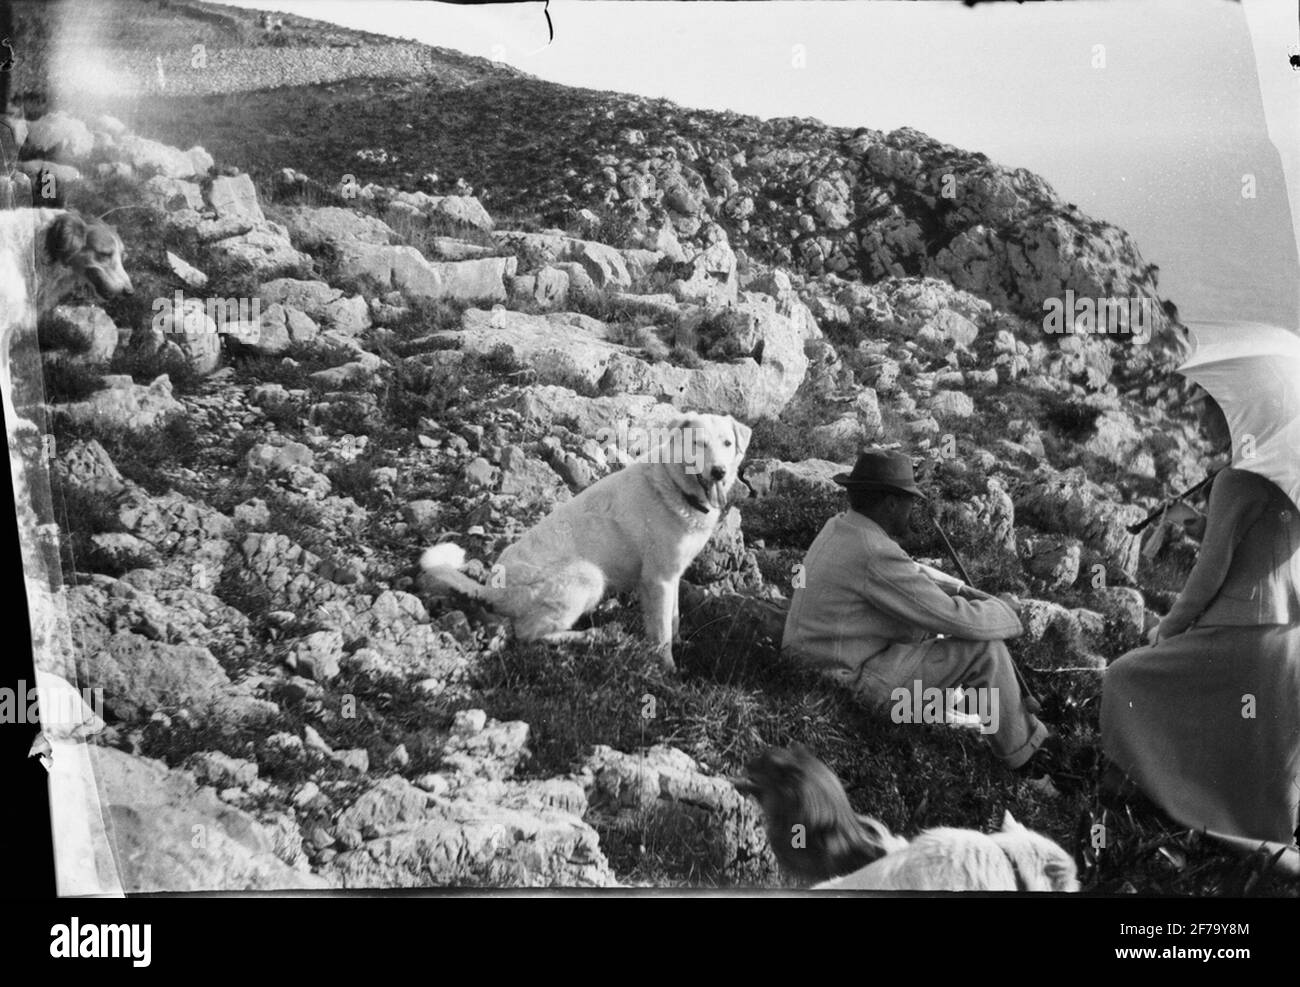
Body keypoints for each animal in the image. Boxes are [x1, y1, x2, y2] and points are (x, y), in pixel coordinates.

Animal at [423, 408, 754, 671]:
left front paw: (681, 644)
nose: (719, 472)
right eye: (699, 444)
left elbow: (673, 620)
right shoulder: (657, 579)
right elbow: (661, 634)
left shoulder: (672, 576)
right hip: (588, 576)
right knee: (529, 633)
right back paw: (586, 636)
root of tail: (494, 589)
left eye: (727, 443)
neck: (674, 487)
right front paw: (667, 671)